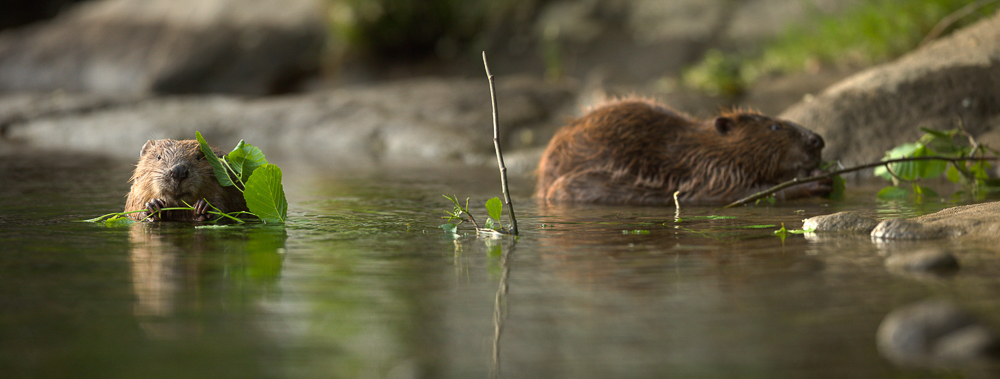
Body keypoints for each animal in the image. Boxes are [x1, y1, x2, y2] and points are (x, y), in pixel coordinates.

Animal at [536, 98, 832, 205]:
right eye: (774, 126)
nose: (817, 140)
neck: (701, 148)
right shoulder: (711, 174)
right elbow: (740, 193)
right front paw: (816, 181)